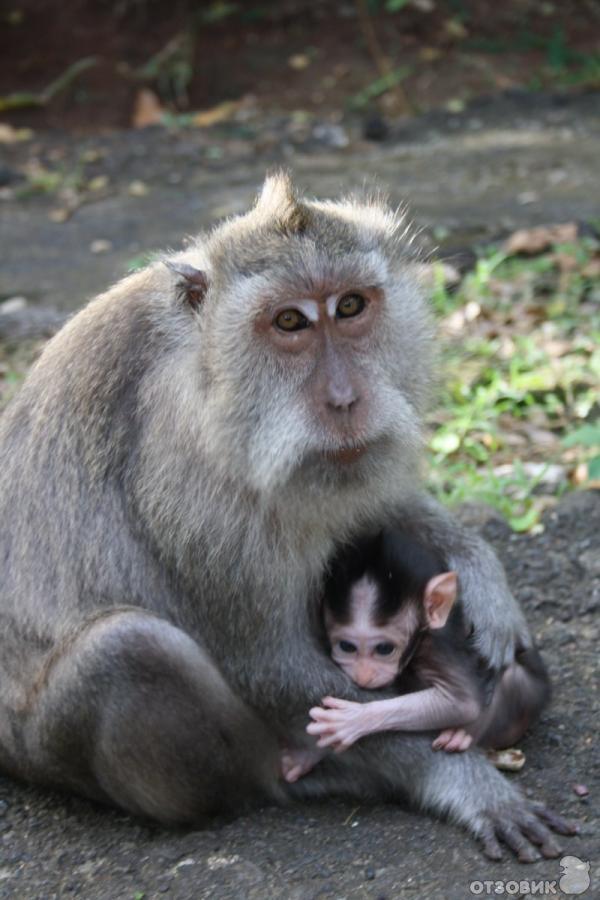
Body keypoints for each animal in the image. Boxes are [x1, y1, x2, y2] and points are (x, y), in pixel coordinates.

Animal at [282, 532, 548, 784]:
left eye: (384, 649)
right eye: (347, 647)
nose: (363, 676)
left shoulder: (436, 648)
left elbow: (462, 702)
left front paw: (355, 720)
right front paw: (310, 752)